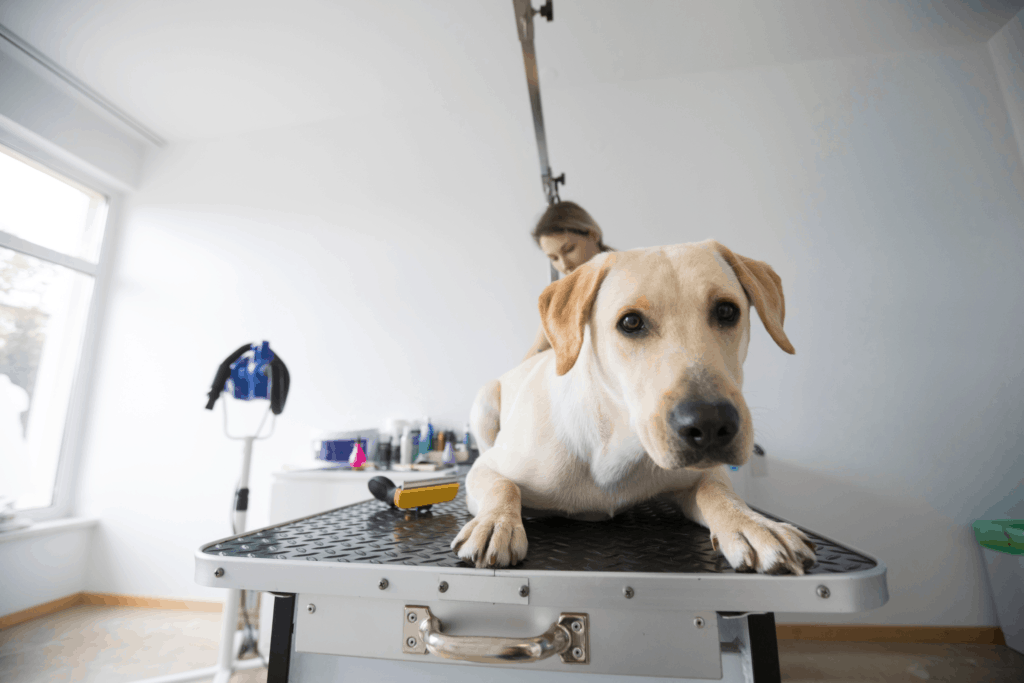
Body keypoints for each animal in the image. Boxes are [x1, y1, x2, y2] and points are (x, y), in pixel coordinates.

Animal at [452, 240, 817, 574]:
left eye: (727, 311)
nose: (711, 424)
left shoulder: (702, 474)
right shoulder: (484, 468)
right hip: (484, 402)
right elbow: (502, 485)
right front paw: (495, 523)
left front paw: (754, 524)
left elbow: (718, 492)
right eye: (630, 322)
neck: (613, 446)